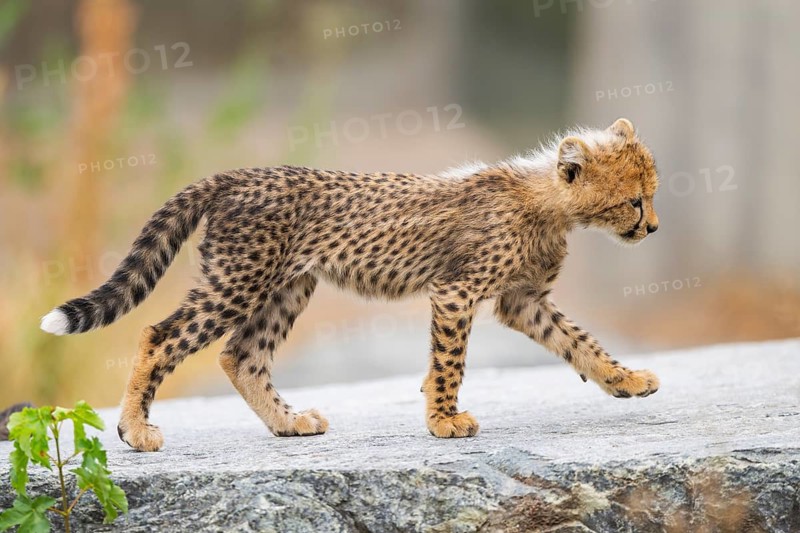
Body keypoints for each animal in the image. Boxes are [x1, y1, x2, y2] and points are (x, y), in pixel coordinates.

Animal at [41, 118, 660, 452]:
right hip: (238, 281)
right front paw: (443, 420)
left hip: (286, 287)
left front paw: (625, 380)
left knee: (242, 355)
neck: (550, 203)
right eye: (636, 199)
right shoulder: (455, 292)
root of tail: (239, 173)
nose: (654, 228)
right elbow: (450, 361)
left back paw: (289, 423)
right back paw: (135, 430)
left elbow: (580, 342)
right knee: (161, 336)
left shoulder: (521, 300)